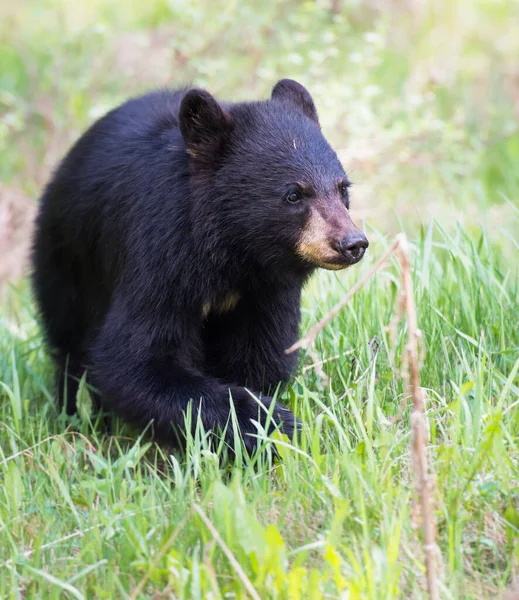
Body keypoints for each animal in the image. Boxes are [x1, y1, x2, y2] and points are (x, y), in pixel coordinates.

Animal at [31, 81, 370, 454]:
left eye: (342, 188)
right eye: (294, 194)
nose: (352, 243)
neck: (233, 252)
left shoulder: (268, 289)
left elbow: (261, 353)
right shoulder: (161, 256)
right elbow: (134, 361)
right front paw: (269, 424)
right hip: (68, 262)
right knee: (71, 344)